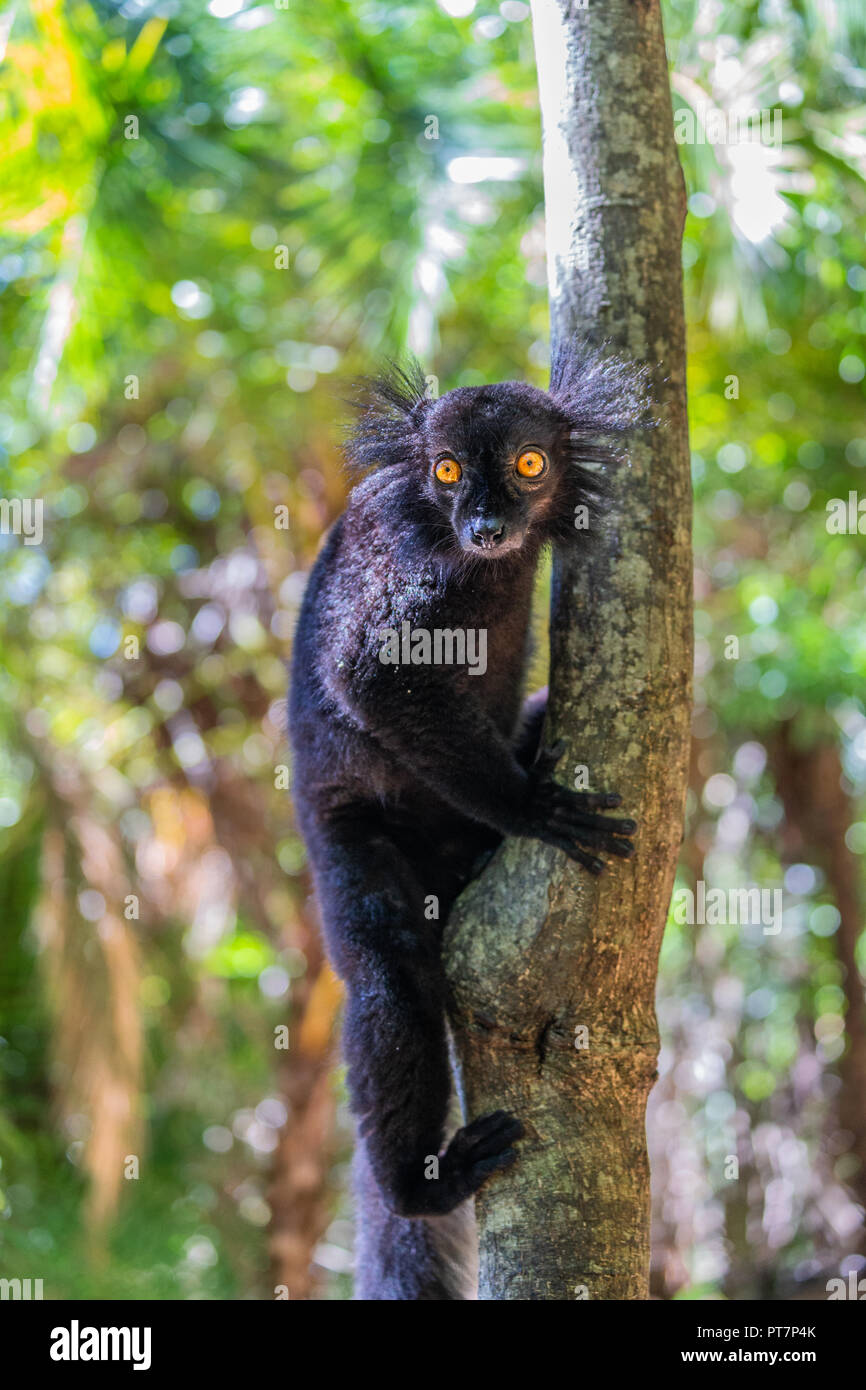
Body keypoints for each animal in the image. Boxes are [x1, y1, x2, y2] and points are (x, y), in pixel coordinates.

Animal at [288, 341, 650, 1299]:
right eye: (447, 472)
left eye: (529, 465)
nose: (486, 529)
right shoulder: (408, 552)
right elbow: (375, 671)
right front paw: (529, 805)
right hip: (346, 839)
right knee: (391, 975)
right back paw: (425, 1184)